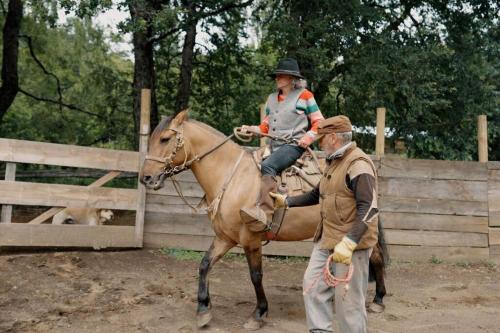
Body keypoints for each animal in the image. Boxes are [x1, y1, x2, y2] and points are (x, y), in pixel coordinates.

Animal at [139, 110, 388, 328]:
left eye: (165, 138)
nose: (146, 178)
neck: (233, 178)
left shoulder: (251, 239)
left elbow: (255, 275)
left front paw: (259, 313)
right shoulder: (225, 237)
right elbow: (204, 265)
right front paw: (203, 309)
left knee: (376, 258)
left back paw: (378, 300)